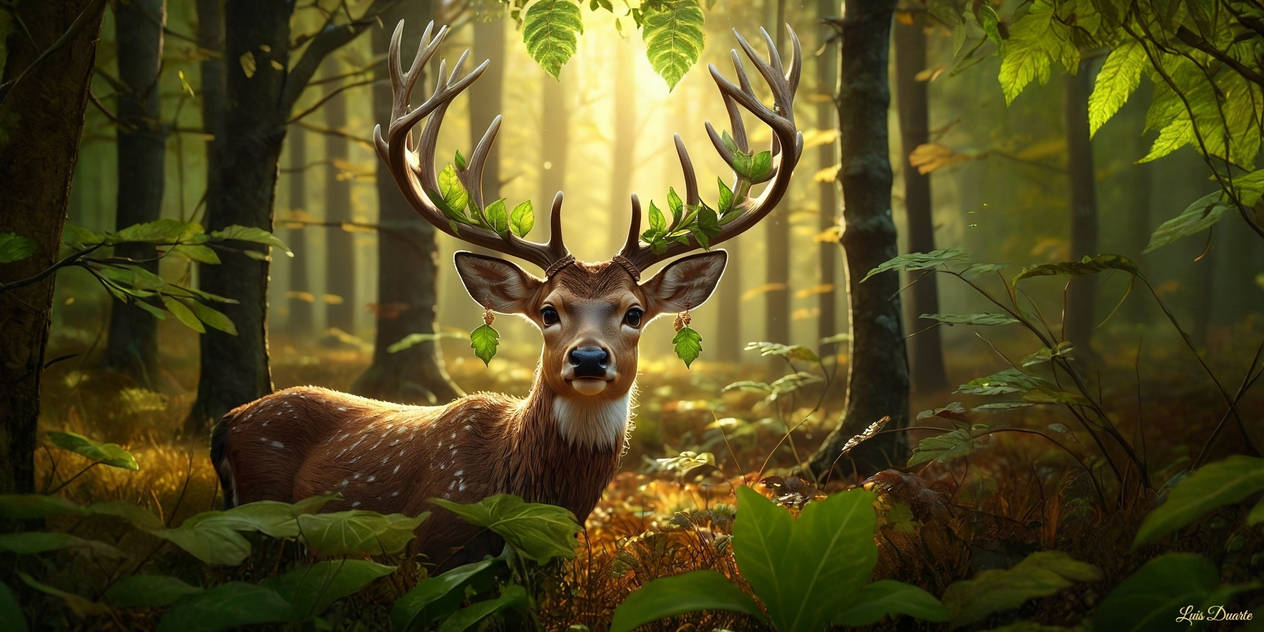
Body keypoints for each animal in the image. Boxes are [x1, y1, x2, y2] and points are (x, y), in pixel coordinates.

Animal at [210, 19, 802, 570]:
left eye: (634, 313)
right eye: (548, 311)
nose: (589, 358)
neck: (519, 495)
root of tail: (229, 420)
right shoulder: (434, 543)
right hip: (262, 520)